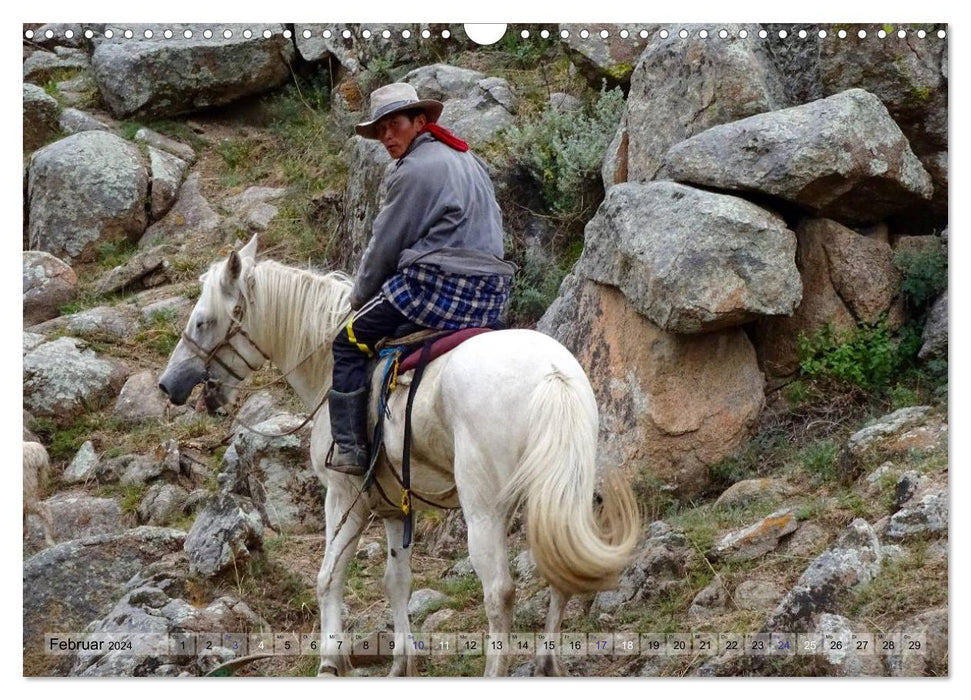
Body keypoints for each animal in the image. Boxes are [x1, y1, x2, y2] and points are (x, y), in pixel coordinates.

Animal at [161, 238, 636, 676]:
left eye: (203, 321)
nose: (169, 385)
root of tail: (553, 376)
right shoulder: (393, 507)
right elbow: (397, 582)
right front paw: (401, 663)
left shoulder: (344, 497)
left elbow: (328, 578)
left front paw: (330, 661)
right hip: (557, 498)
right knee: (558, 573)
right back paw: (547, 664)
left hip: (484, 509)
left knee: (499, 590)